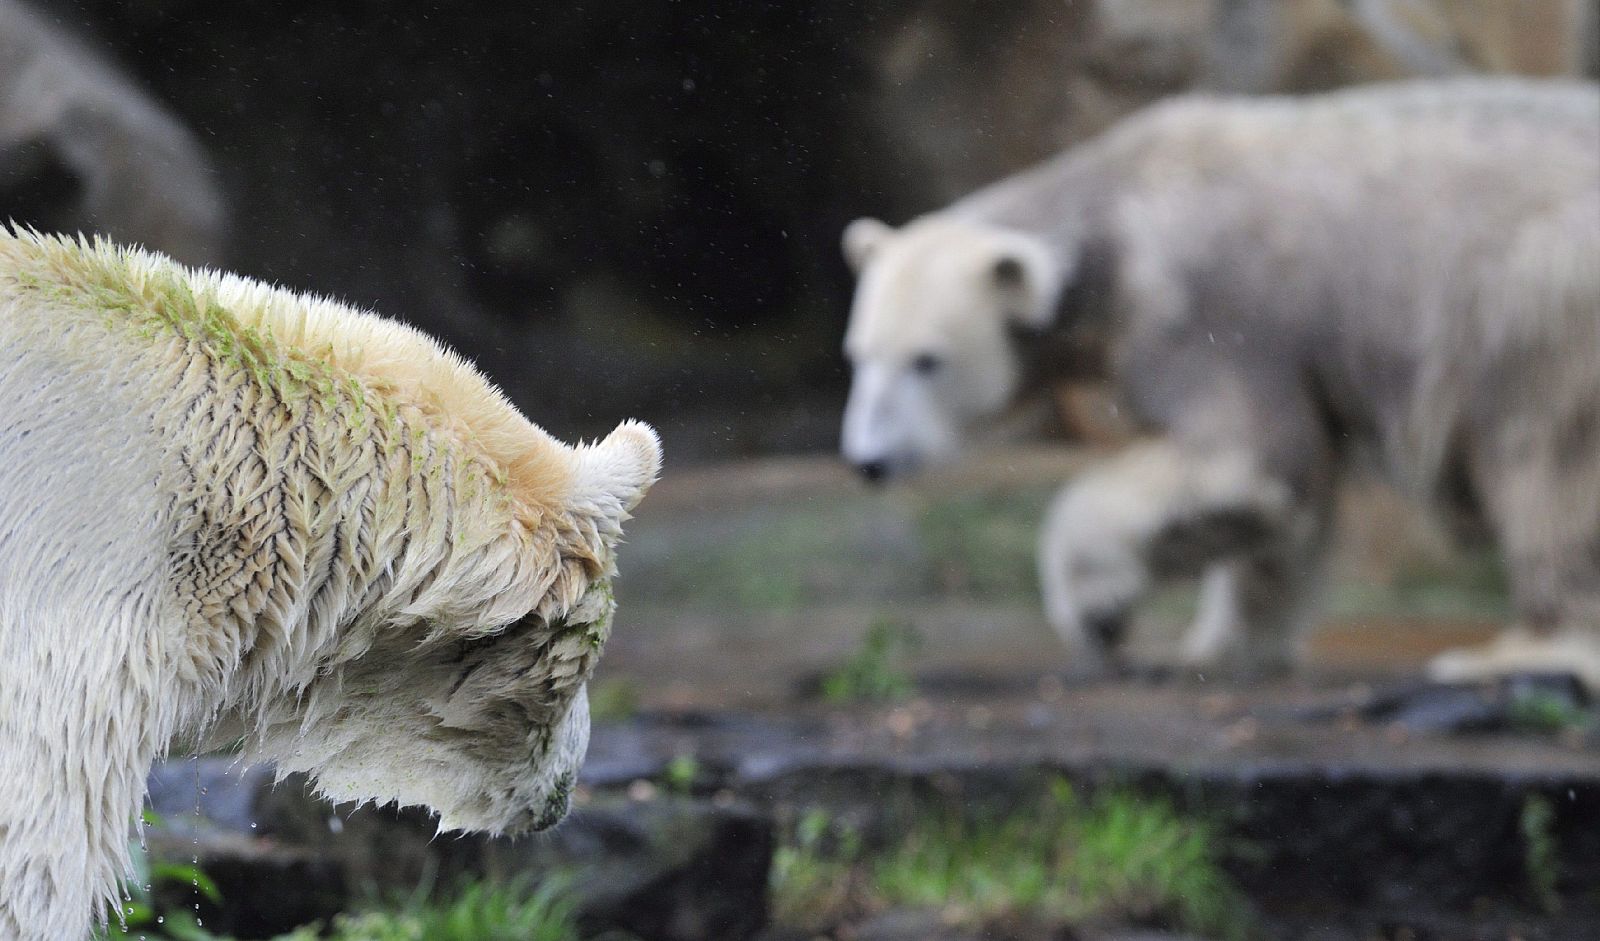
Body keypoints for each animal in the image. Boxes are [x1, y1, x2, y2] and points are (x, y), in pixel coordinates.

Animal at [838, 79, 1600, 684]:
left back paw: (1525, 652)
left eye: (925, 360)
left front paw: (1099, 610)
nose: (867, 460)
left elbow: (1246, 453)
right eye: (858, 355)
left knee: (1549, 465)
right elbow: (1279, 509)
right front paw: (1217, 649)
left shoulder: (1209, 306)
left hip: (1543, 291)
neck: (1114, 214)